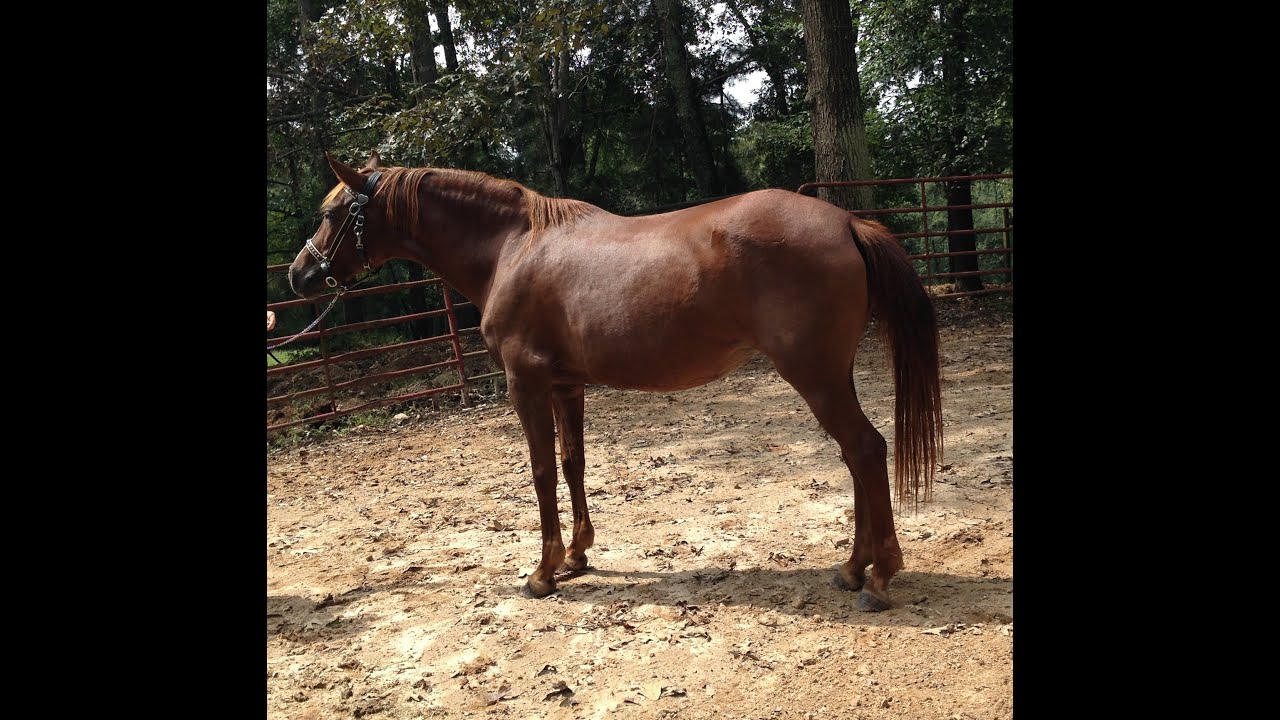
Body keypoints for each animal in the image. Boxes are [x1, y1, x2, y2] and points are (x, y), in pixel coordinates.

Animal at [288, 151, 942, 611]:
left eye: (330, 213)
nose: (298, 275)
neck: (511, 248)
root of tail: (847, 220)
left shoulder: (525, 384)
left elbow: (541, 470)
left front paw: (543, 571)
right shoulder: (565, 385)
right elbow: (572, 461)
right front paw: (577, 555)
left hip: (815, 375)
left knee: (866, 450)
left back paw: (878, 577)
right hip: (829, 374)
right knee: (857, 456)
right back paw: (853, 567)